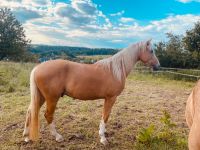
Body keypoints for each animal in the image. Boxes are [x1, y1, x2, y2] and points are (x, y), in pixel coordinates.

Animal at [23, 39, 159, 145]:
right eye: (151, 51)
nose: (158, 66)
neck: (114, 70)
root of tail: (37, 68)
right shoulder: (111, 98)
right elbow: (105, 116)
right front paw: (103, 138)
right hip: (52, 98)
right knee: (48, 115)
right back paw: (58, 137)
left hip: (41, 97)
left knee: (30, 112)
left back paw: (26, 137)